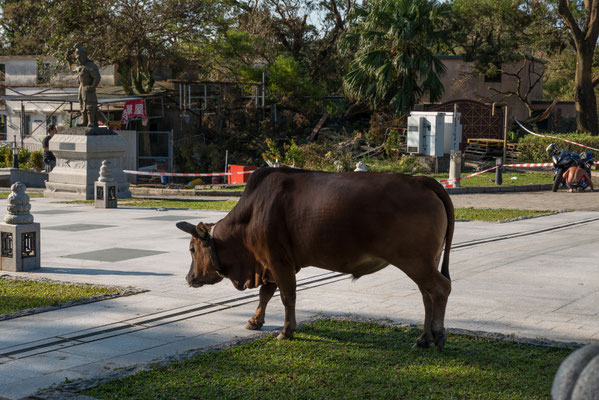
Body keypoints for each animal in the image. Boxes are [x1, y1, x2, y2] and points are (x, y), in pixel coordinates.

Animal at [178, 167, 454, 348]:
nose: (189, 278)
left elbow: (287, 296)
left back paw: (437, 334)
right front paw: (255, 321)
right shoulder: (273, 263)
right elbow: (266, 293)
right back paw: (424, 338)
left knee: (440, 288)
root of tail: (422, 180)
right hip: (426, 261)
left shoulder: (278, 260)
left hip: (415, 261)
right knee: (427, 295)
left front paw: (287, 330)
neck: (253, 212)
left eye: (191, 249)